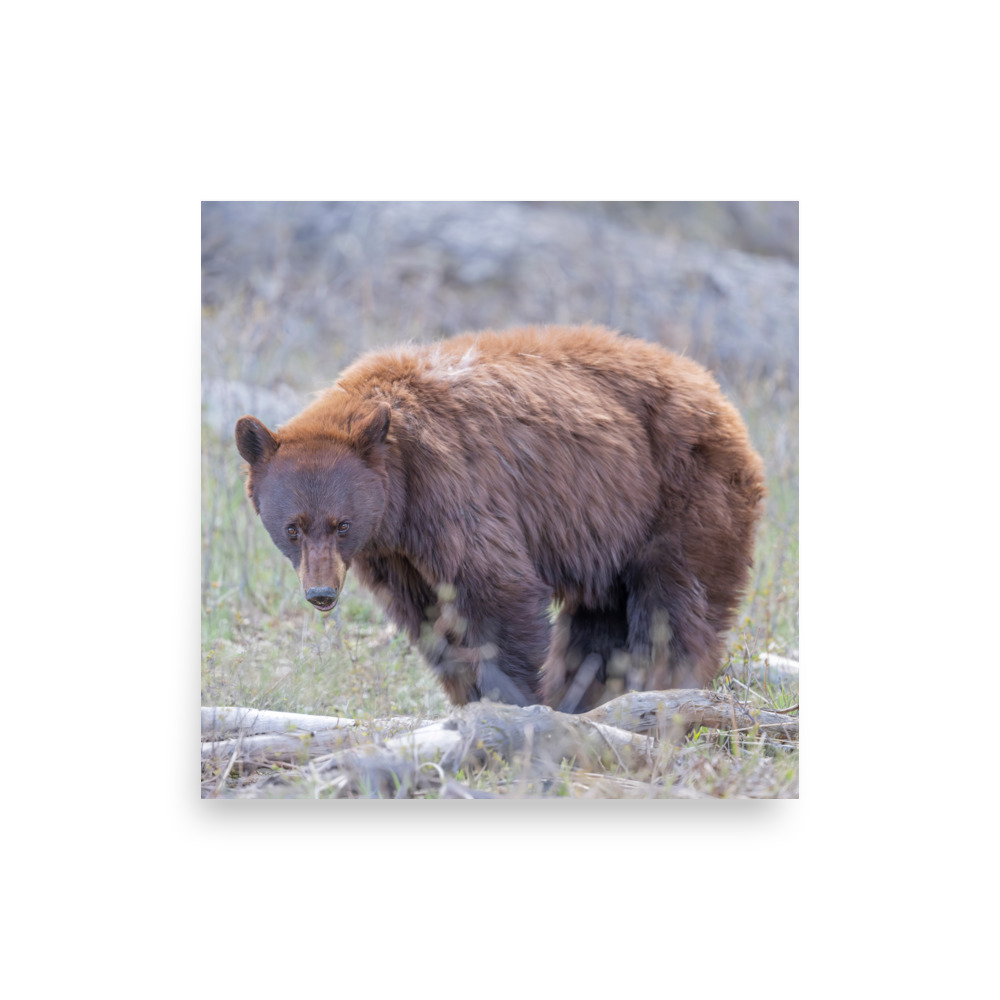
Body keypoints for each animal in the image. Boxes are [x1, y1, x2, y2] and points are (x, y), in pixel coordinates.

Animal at [235, 324, 765, 712]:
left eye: (341, 524)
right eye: (293, 528)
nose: (321, 593)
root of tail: (715, 391)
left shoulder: (454, 490)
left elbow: (497, 591)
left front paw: (512, 700)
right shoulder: (394, 553)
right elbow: (429, 618)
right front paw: (470, 697)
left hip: (681, 492)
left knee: (674, 603)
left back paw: (661, 685)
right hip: (610, 528)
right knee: (599, 620)